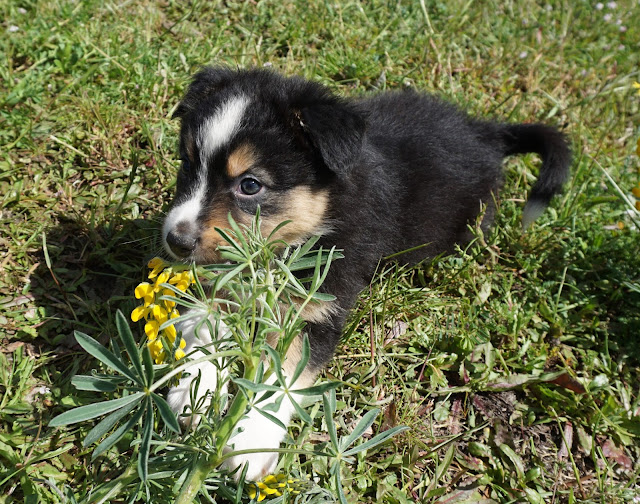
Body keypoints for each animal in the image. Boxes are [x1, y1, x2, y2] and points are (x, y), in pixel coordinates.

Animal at [162, 67, 572, 480]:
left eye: (249, 185)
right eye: (187, 164)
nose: (175, 241)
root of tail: (484, 131)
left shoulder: (318, 310)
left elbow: (282, 380)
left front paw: (249, 441)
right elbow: (204, 323)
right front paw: (193, 389)